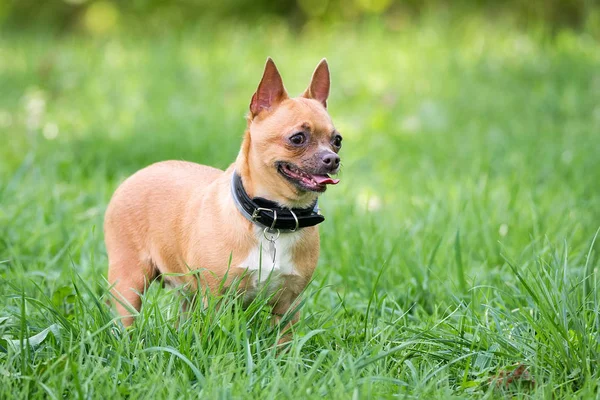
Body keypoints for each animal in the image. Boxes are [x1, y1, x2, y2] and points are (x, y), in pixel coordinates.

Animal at [104, 58, 342, 340]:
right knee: (125, 320)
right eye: (297, 138)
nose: (333, 159)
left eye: (337, 140)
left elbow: (284, 342)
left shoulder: (288, 306)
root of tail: (135, 175)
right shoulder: (217, 299)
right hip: (130, 282)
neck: (274, 216)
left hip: (187, 293)